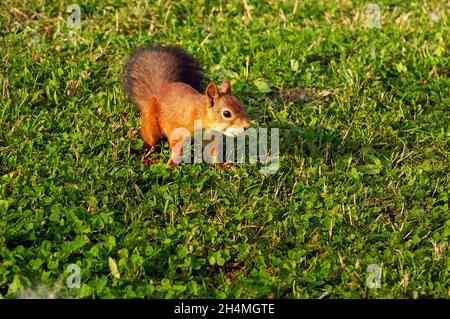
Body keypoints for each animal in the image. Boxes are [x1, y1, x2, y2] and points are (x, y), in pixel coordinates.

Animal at [122, 46, 250, 170]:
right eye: (227, 114)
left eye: (242, 106)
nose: (246, 126)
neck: (200, 115)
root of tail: (158, 92)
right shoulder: (178, 128)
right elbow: (176, 146)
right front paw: (171, 164)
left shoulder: (209, 135)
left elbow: (213, 150)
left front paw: (221, 165)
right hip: (151, 123)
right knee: (150, 140)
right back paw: (148, 156)